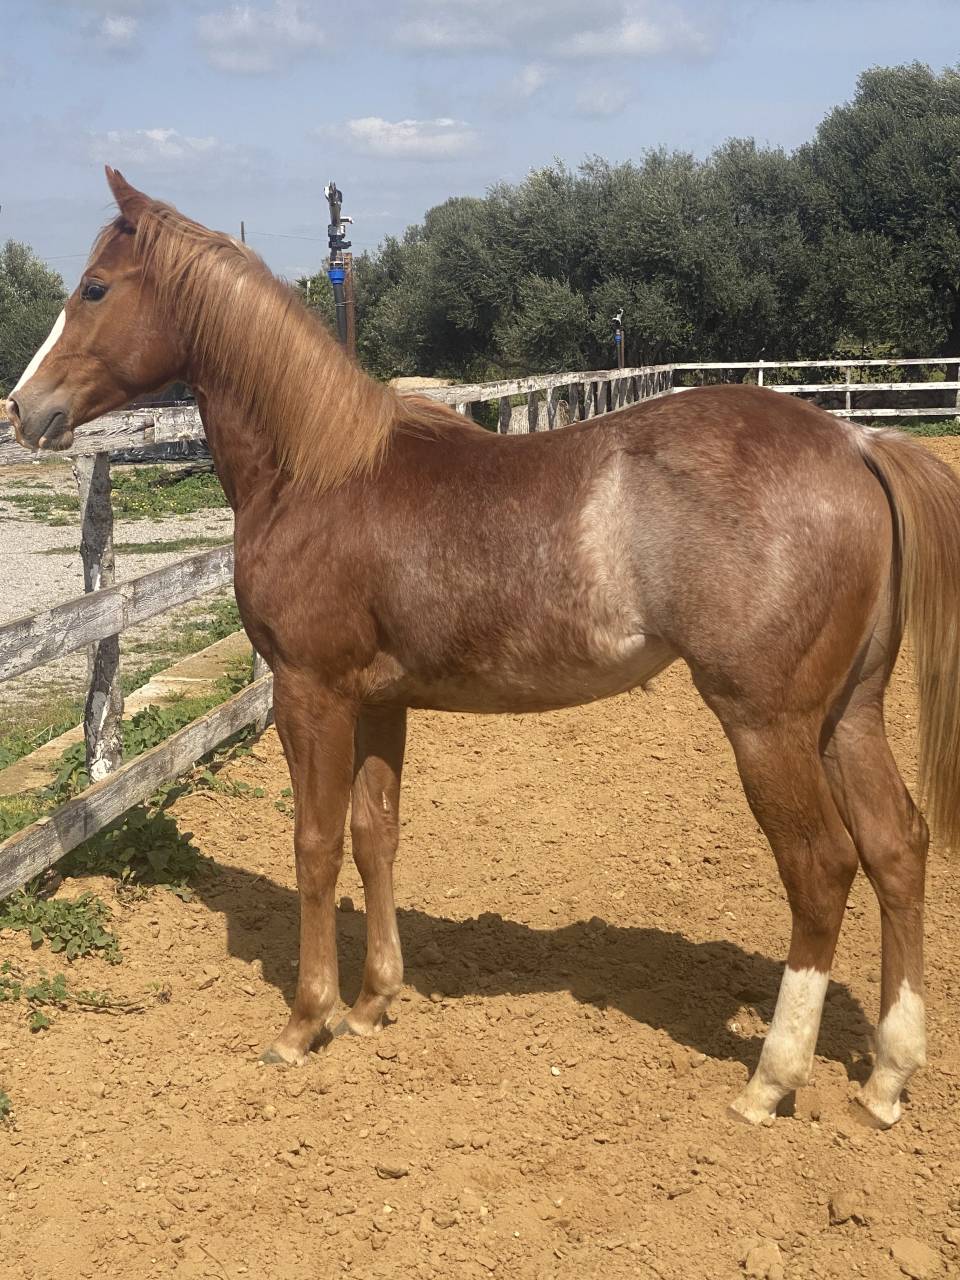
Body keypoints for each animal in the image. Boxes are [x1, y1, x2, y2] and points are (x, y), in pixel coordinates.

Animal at [7, 166, 960, 1130]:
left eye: (95, 288)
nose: (24, 408)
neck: (319, 473)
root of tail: (856, 441)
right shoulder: (380, 700)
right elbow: (375, 834)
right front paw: (372, 1004)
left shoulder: (311, 692)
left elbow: (315, 843)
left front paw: (306, 1021)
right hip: (848, 714)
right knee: (897, 846)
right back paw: (886, 1078)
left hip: (767, 723)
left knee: (822, 867)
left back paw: (771, 1079)